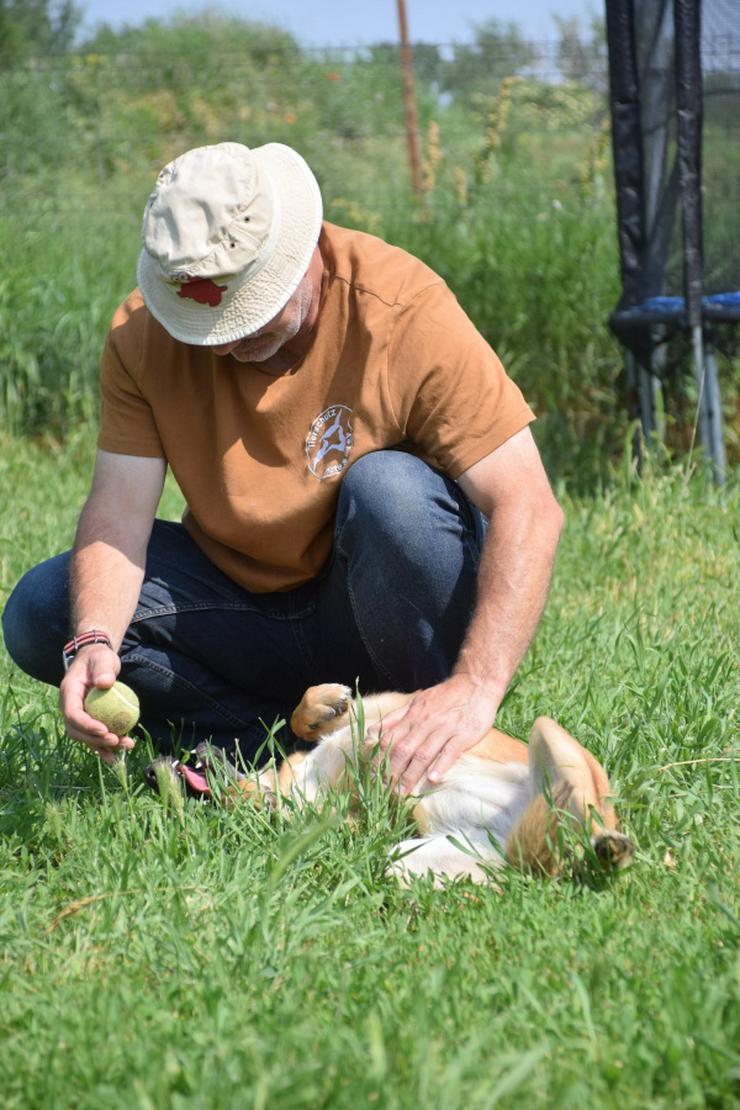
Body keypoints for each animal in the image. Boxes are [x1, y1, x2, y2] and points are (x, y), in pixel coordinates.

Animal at [238, 679, 639, 888]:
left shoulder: (378, 711)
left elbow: (302, 713)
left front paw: (327, 704)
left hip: (550, 734)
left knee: (587, 820)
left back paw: (609, 848)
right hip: (411, 858)